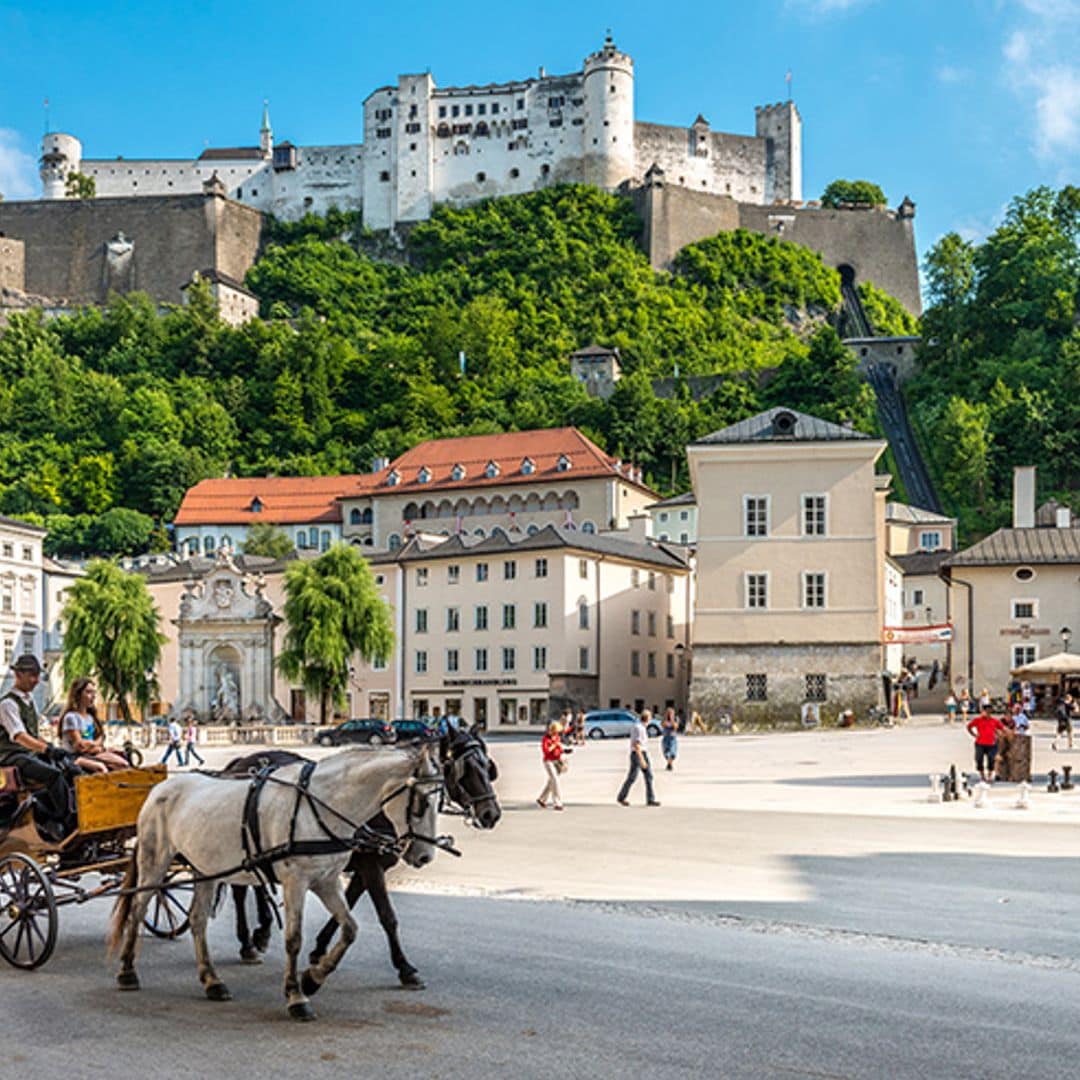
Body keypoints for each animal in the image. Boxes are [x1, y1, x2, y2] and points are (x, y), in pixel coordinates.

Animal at [109, 747, 442, 1015]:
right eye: (421, 803)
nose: (425, 856)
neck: (320, 806)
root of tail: (160, 787)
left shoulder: (326, 881)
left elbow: (350, 929)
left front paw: (313, 978)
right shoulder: (298, 881)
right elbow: (294, 939)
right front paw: (296, 995)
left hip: (205, 867)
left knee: (198, 919)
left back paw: (212, 980)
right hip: (155, 860)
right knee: (138, 908)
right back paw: (127, 970)